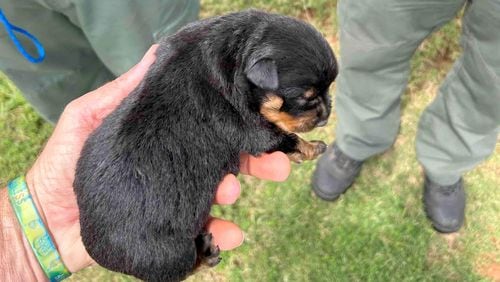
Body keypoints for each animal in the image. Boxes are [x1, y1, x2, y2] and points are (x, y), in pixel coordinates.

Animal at [74, 9, 338, 282]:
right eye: (306, 99)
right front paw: (313, 147)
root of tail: (95, 248)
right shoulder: (249, 129)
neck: (235, 54)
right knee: (183, 269)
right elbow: (287, 139)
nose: (327, 114)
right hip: (167, 255)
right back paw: (205, 254)